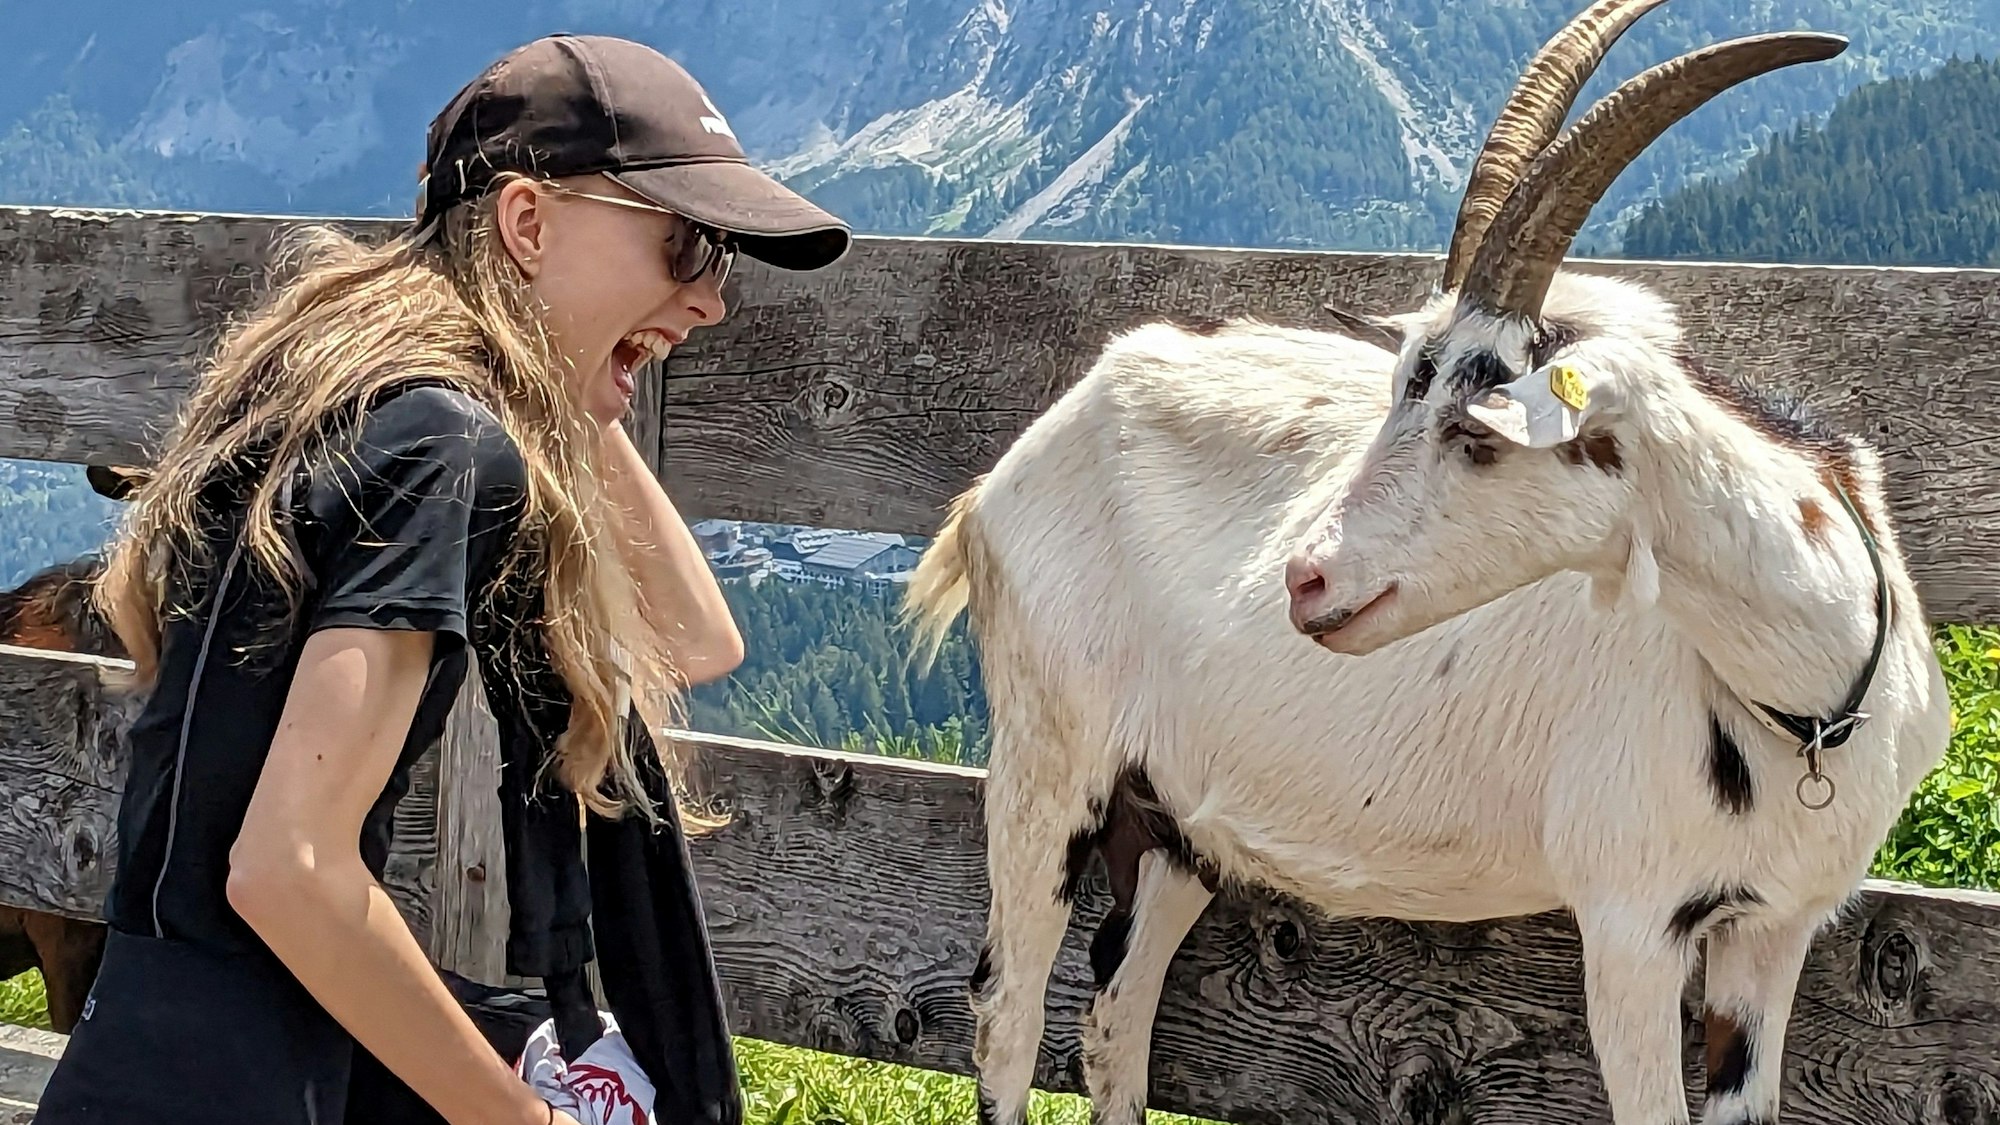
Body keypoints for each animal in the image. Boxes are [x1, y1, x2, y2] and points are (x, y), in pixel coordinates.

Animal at [901, 4, 1951, 1124]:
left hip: (1171, 817)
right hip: (1046, 759)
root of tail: (1003, 478)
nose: (1305, 580)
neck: (1807, 695)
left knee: (1116, 1008)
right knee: (1007, 1009)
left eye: (1477, 425)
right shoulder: (1631, 924)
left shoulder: (1772, 927)